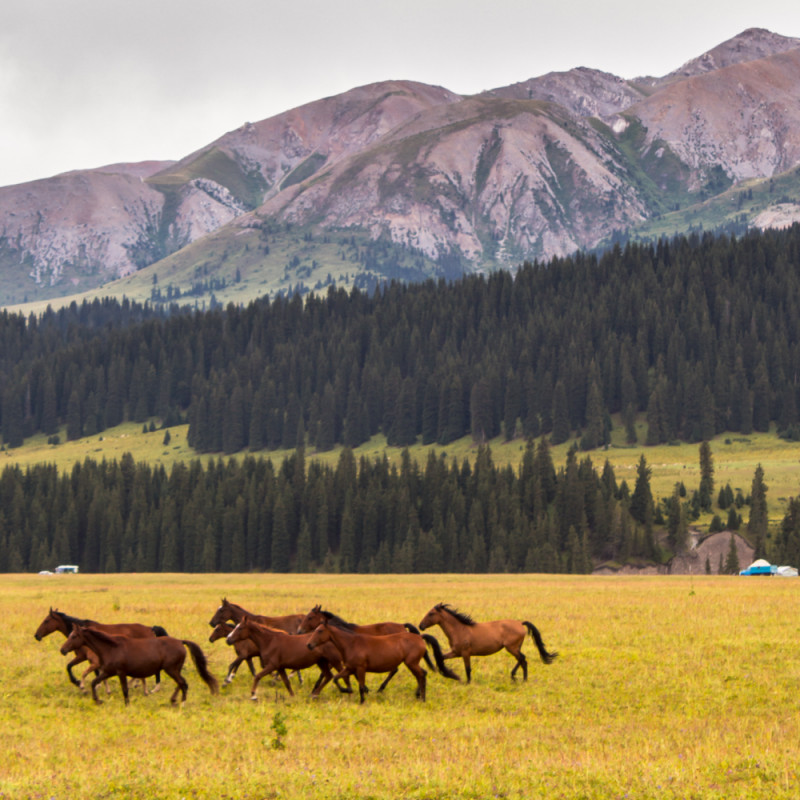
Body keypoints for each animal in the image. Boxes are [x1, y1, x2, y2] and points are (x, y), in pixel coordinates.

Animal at [34, 608, 169, 692]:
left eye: (46, 621)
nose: (36, 635)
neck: (82, 634)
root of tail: (150, 629)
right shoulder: (87, 658)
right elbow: (72, 667)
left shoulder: (83, 656)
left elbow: (72, 667)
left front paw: (79, 683)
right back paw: (136, 684)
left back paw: (154, 688)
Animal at [61, 624, 219, 708]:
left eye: (73, 636)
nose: (62, 650)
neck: (111, 648)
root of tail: (180, 642)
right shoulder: (107, 672)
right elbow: (94, 682)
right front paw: (98, 700)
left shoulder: (121, 672)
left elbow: (125, 689)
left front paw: (127, 704)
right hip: (174, 670)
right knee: (181, 683)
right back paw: (173, 700)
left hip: (171, 669)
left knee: (182, 683)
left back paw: (182, 703)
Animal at [223, 612, 352, 700]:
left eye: (239, 628)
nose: (228, 640)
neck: (269, 641)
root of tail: (332, 638)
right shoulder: (280, 668)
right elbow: (286, 683)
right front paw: (292, 696)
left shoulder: (272, 666)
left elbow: (257, 676)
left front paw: (253, 695)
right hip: (322, 662)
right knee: (329, 676)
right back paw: (314, 694)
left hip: (334, 661)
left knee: (342, 675)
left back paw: (348, 691)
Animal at [304, 620, 460, 704]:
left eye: (319, 631)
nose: (309, 645)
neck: (351, 643)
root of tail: (420, 637)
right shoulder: (349, 668)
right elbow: (336, 678)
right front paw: (346, 690)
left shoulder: (360, 668)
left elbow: (361, 686)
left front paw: (362, 701)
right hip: (412, 664)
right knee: (421, 675)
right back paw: (419, 696)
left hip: (411, 663)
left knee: (421, 675)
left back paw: (422, 698)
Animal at [418, 604, 556, 684]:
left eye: (431, 613)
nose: (421, 626)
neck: (459, 629)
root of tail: (520, 623)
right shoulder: (455, 652)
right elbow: (441, 658)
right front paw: (448, 673)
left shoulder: (465, 653)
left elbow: (468, 668)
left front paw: (467, 682)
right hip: (515, 648)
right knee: (522, 659)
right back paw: (516, 677)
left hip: (511, 648)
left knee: (523, 659)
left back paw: (522, 679)